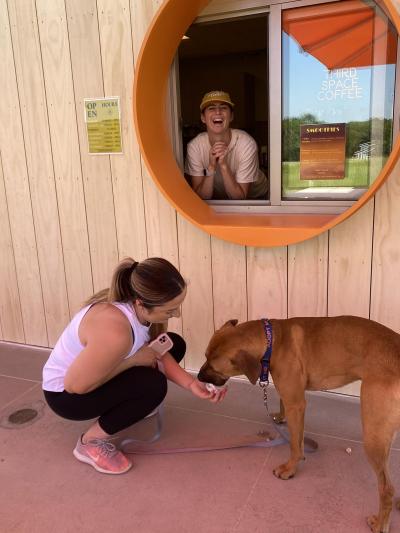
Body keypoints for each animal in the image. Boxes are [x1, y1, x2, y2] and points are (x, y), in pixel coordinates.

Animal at [197, 316, 400, 532]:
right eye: (205, 356)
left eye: (213, 367)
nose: (199, 377)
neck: (273, 340)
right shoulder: (289, 395)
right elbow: (283, 405)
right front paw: (279, 417)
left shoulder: (296, 404)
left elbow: (295, 444)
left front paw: (290, 468)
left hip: (373, 437)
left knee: (387, 488)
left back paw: (380, 523)